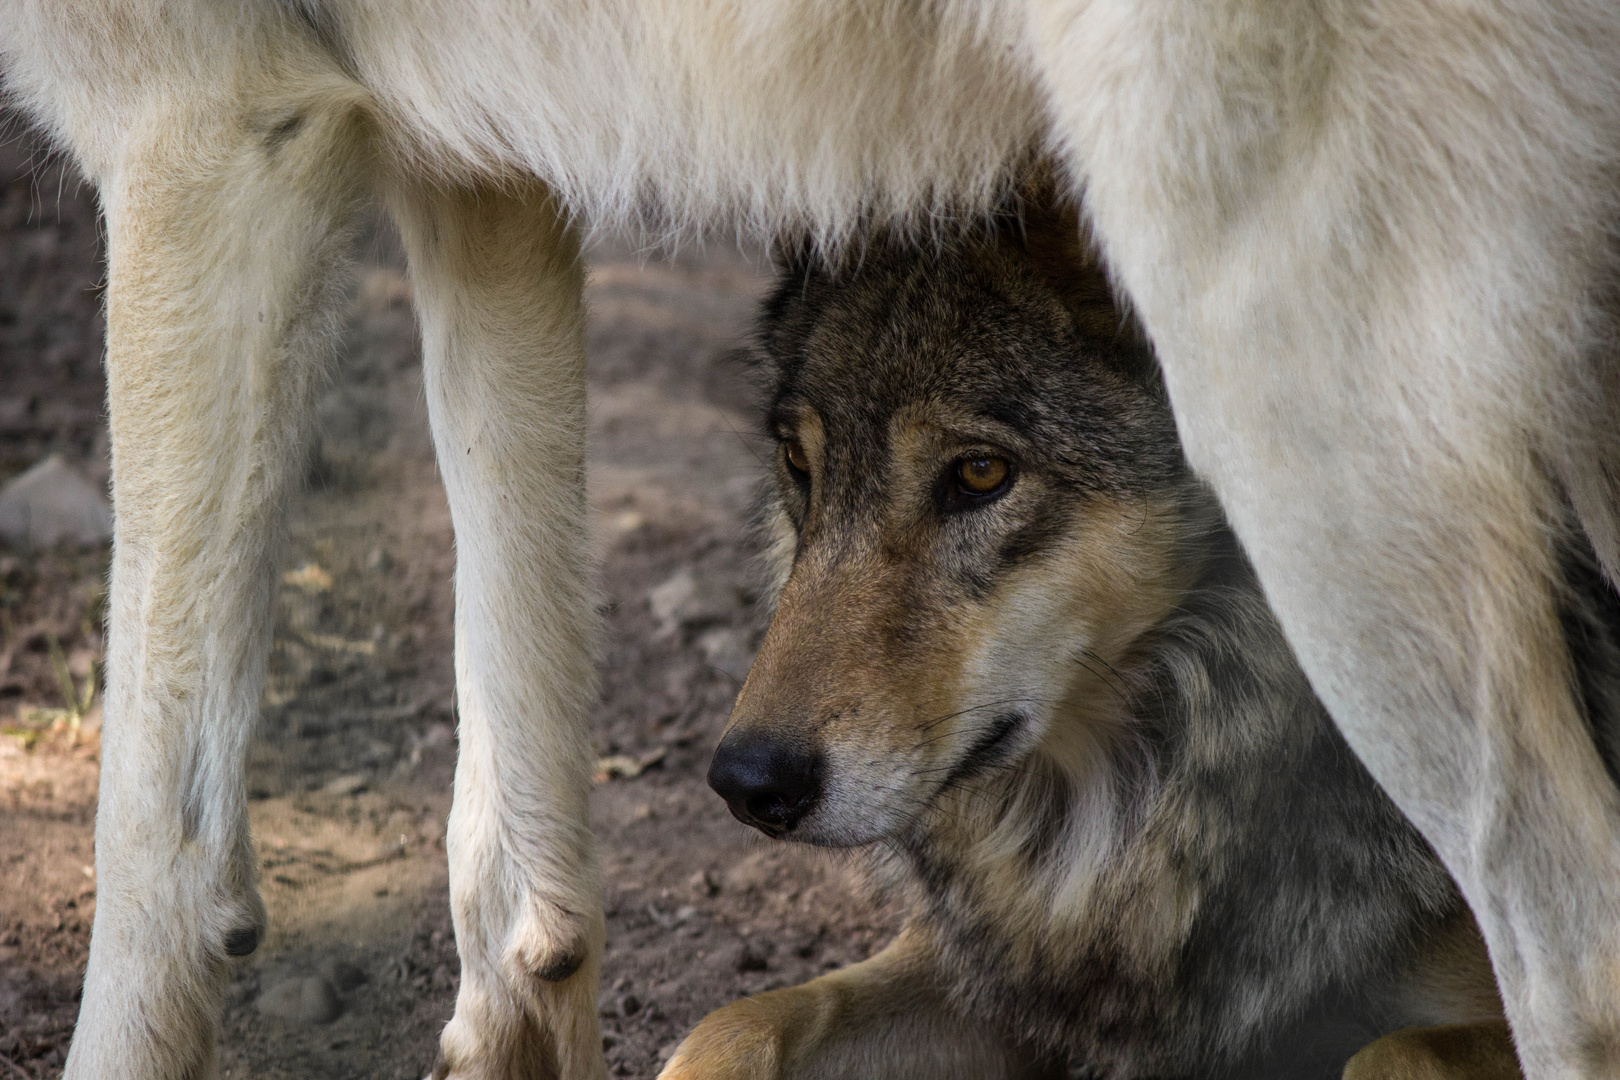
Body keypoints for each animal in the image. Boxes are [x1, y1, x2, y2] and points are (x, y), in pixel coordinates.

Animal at [667, 210, 1516, 1080]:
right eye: (798, 463)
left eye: (980, 473)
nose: (747, 782)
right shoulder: (997, 980)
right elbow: (735, 1023)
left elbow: (1396, 1052)